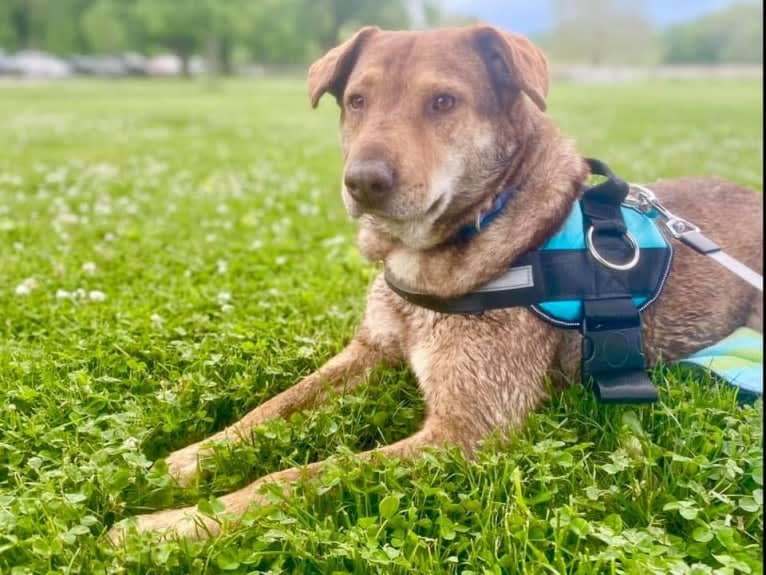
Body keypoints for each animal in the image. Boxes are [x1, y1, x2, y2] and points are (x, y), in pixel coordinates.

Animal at [108, 23, 760, 544]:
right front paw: (188, 460)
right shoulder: (370, 349)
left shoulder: (466, 431)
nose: (363, 181)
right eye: (357, 101)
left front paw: (171, 525)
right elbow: (273, 408)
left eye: (443, 101)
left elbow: (299, 476)